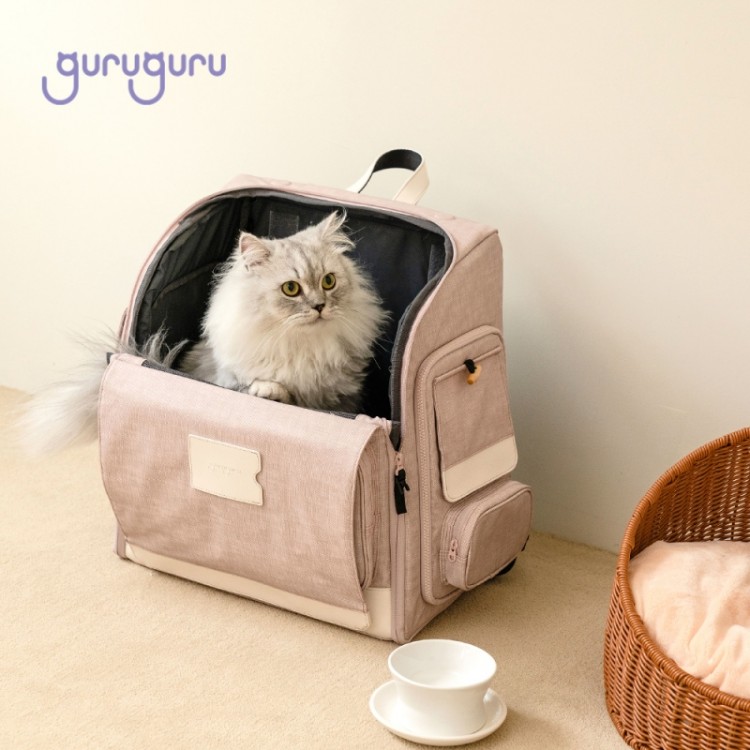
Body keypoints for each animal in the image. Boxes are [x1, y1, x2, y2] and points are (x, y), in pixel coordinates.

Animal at [19, 212, 387, 455]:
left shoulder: (342, 399)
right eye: (291, 289)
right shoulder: (233, 379)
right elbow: (269, 387)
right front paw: (269, 390)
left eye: (329, 281)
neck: (303, 345)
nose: (319, 306)